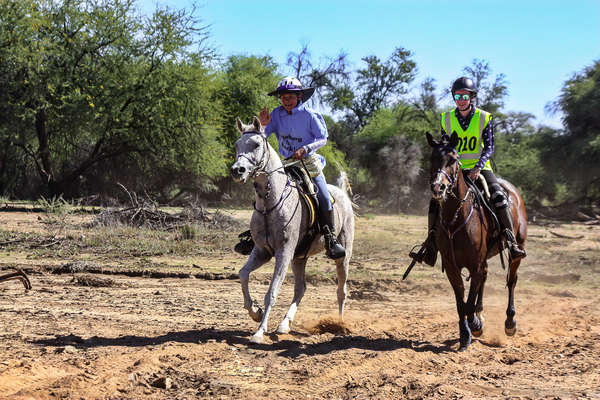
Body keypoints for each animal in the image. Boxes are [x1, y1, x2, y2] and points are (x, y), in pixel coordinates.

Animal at [229, 115, 352, 344]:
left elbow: (272, 291)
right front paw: (255, 312)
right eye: (236, 145)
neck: (272, 203)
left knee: (341, 290)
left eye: (257, 144)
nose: (237, 170)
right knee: (300, 289)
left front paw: (259, 332)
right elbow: (243, 275)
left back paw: (339, 323)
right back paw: (284, 324)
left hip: (343, 256)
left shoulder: (283, 253)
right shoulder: (262, 251)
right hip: (299, 258)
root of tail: (342, 194)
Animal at [426, 131, 524, 350]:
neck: (455, 218)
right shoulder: (452, 267)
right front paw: (466, 334)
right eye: (432, 158)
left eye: (453, 159)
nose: (438, 187)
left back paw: (510, 322)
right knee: (485, 279)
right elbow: (461, 304)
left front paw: (476, 324)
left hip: (517, 249)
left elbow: (468, 303)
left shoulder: (475, 265)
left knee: (511, 280)